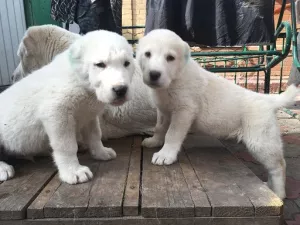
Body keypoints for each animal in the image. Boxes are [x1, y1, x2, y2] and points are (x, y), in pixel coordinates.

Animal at [0, 29, 135, 185]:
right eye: (100, 64)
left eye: (127, 63)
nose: (121, 90)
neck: (80, 81)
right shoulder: (57, 113)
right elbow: (66, 145)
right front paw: (73, 171)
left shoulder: (89, 114)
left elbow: (95, 134)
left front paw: (101, 152)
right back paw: (3, 169)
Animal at [137, 28, 300, 199]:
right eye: (147, 54)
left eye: (170, 58)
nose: (154, 74)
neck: (173, 81)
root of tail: (267, 99)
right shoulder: (163, 110)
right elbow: (160, 128)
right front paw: (154, 141)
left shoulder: (184, 111)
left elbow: (172, 134)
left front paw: (165, 155)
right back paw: (269, 186)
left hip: (261, 140)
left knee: (278, 166)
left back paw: (279, 193)